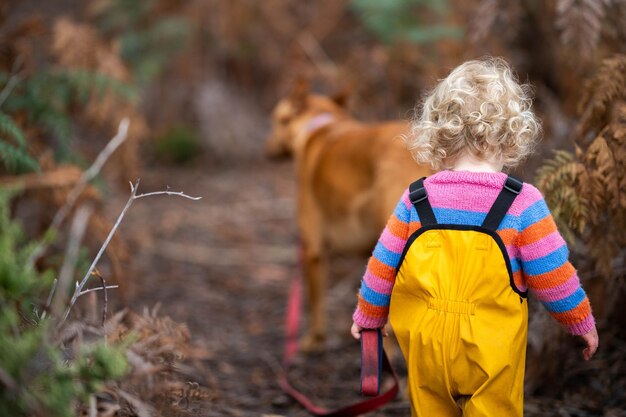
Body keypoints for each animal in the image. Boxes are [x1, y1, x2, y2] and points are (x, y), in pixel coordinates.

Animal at [266, 79, 432, 350]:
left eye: (275, 120)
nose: (267, 147)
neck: (321, 123)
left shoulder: (314, 249)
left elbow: (316, 302)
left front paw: (314, 340)